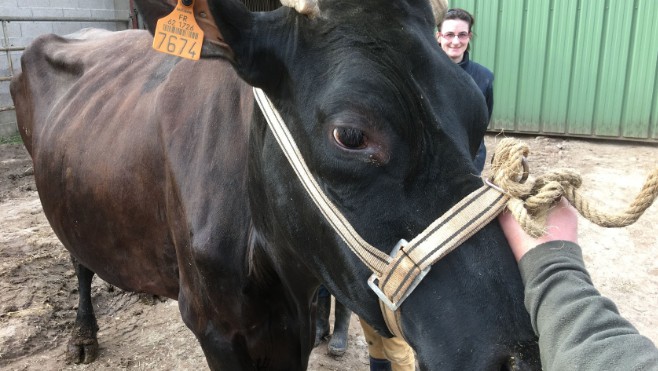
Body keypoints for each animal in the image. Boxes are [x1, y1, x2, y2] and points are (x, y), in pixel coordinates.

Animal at [10, 0, 540, 370]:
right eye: (350, 135)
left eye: (478, 110)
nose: (518, 356)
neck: (270, 262)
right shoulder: (214, 326)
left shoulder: (296, 320)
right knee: (77, 256)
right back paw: (83, 335)